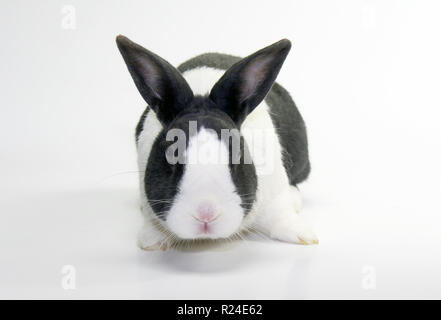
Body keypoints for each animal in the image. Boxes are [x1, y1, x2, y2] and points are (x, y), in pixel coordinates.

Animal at [115, 35, 318, 250]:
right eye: (171, 160)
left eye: (237, 159)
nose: (206, 213)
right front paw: (152, 240)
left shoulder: (275, 190)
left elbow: (280, 215)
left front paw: (303, 235)